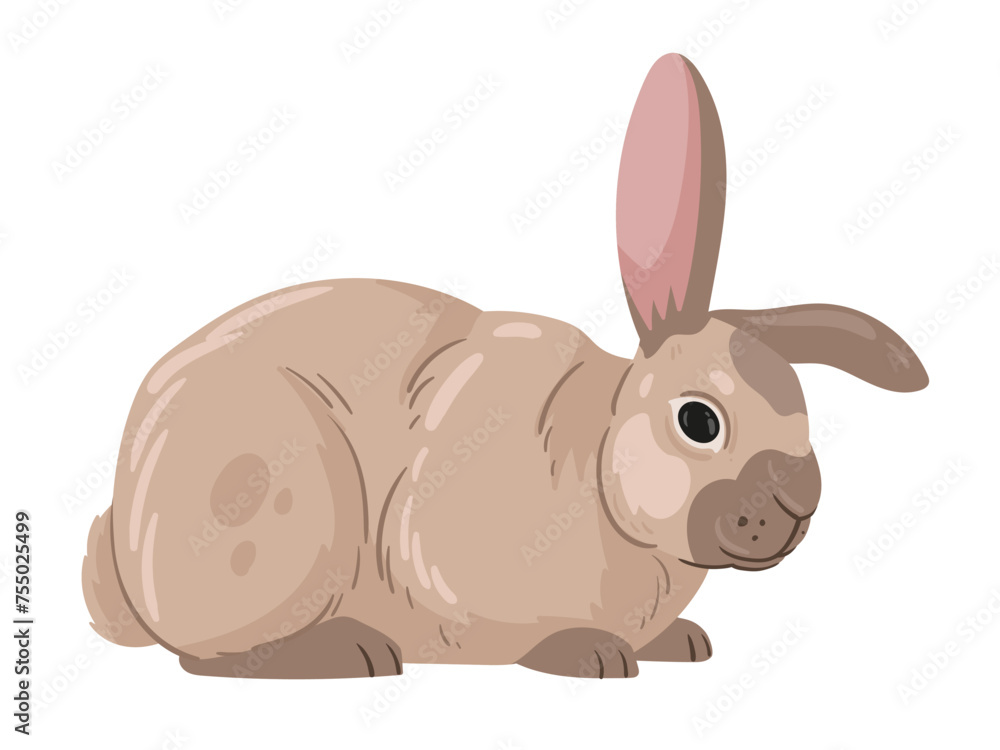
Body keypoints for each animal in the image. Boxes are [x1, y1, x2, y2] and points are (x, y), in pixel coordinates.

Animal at [82, 53, 927, 679]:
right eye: (699, 421)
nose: (798, 507)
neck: (600, 466)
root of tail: (124, 543)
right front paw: (593, 653)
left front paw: (679, 643)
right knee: (207, 658)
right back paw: (348, 650)